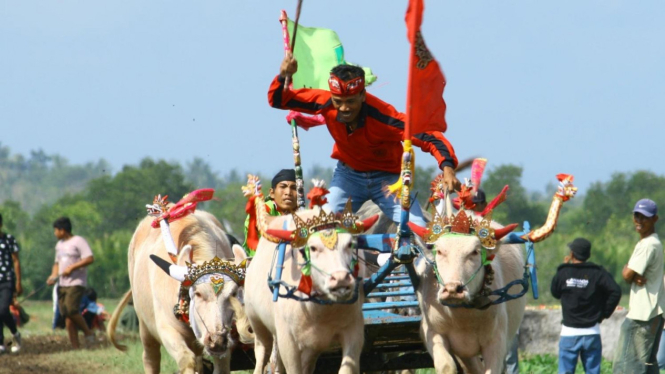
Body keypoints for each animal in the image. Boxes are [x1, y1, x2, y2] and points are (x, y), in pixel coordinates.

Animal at [106, 210, 252, 374]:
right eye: (198, 293)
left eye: (233, 294)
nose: (217, 340)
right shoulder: (167, 329)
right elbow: (186, 360)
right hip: (144, 327)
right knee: (151, 358)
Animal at [245, 207, 378, 374]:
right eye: (313, 248)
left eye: (349, 244)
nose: (341, 279)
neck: (322, 309)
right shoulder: (287, 341)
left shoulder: (354, 331)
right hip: (256, 322)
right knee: (263, 351)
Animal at [410, 216, 524, 374]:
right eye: (439, 251)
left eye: (475, 252)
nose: (452, 289)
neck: (462, 317)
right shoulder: (432, 332)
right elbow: (447, 366)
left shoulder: (496, 340)